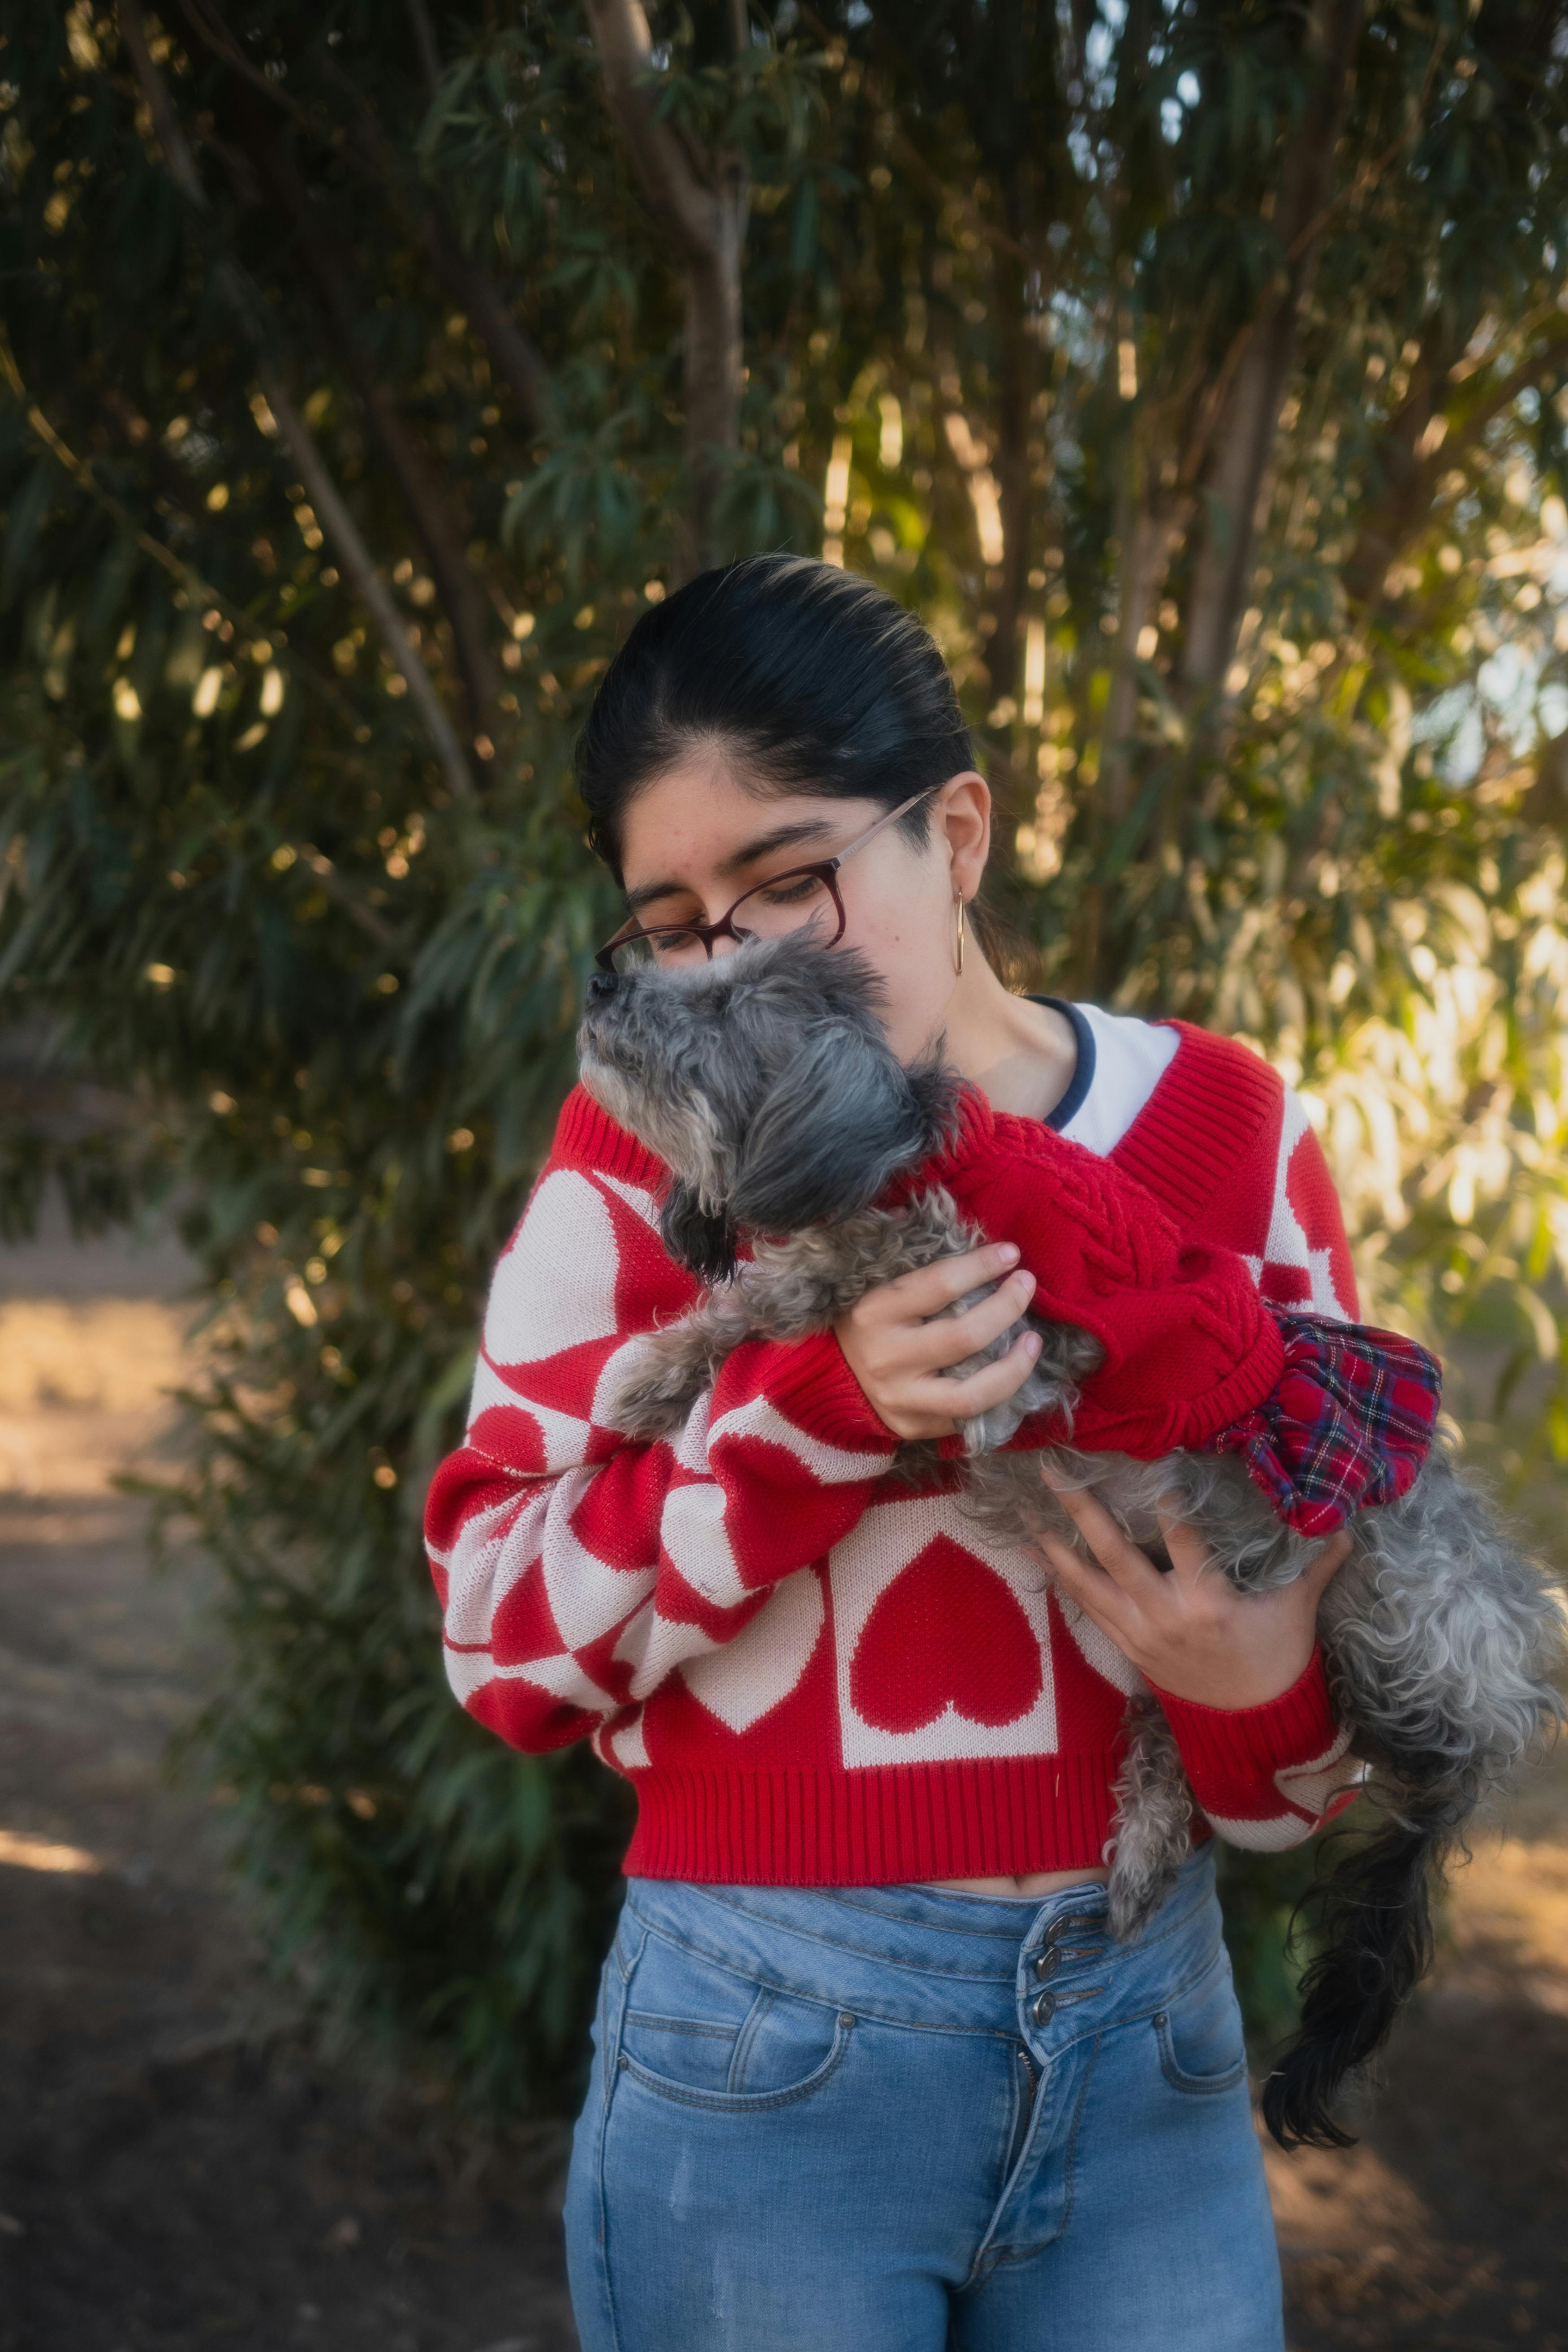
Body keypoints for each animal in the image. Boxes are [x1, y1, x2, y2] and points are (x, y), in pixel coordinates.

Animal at [583, 936, 1561, 2154]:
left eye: (720, 1003)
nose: (600, 979)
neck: (914, 1145)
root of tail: (1495, 1706)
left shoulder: (1020, 1333)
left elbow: (808, 1280)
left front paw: (681, 1359)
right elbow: (767, 1301)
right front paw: (671, 1374)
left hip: (1354, 1608)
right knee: (1167, 1730)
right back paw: (1139, 1851)